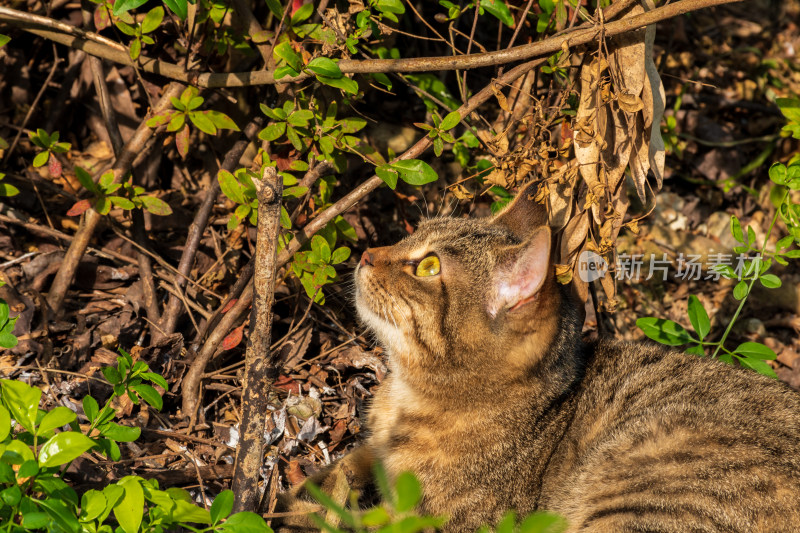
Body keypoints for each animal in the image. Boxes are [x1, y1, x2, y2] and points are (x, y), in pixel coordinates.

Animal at [278, 182, 800, 528]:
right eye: (410, 235)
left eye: (427, 266)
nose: (368, 252)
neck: (407, 399)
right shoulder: (371, 449)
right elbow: (338, 470)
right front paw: (300, 492)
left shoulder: (443, 520)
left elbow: (344, 520)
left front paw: (290, 512)